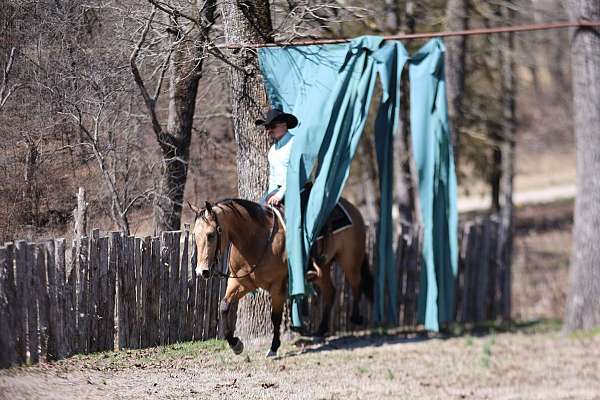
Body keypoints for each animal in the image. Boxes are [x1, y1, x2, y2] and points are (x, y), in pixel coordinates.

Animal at [190, 198, 372, 358]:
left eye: (211, 235)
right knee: (331, 292)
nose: (201, 272)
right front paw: (236, 344)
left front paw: (273, 347)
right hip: (324, 269)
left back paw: (356, 317)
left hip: (350, 260)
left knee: (356, 282)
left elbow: (275, 317)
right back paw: (321, 330)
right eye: (194, 235)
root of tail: (353, 209)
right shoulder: (239, 283)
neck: (255, 240)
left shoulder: (277, 286)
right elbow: (223, 306)